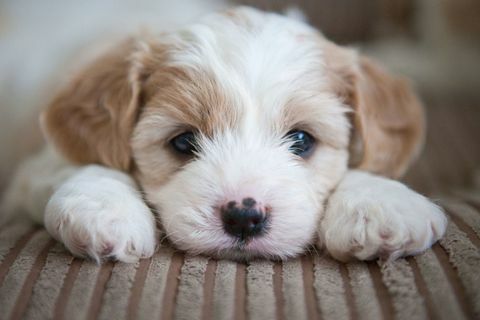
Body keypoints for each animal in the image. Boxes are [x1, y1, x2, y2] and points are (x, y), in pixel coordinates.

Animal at [1, 7, 448, 262]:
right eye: (183, 142)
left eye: (302, 140)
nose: (244, 216)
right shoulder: (34, 168)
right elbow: (86, 163)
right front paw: (106, 209)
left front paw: (380, 203)